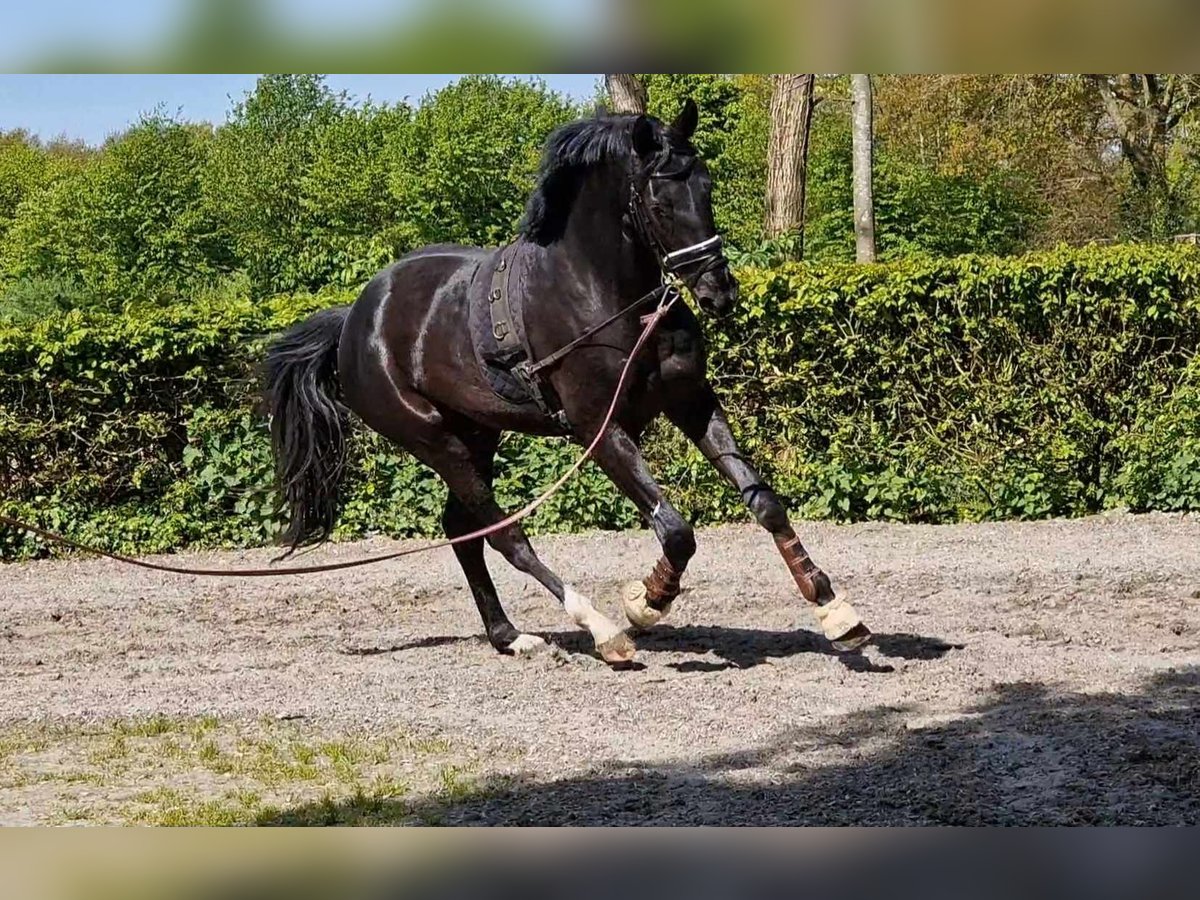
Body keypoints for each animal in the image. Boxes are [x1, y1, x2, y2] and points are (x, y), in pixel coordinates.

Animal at [262, 102, 868, 667]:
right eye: (659, 202)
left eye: (706, 186)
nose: (718, 291)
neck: (607, 297)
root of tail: (355, 319)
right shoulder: (599, 430)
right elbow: (675, 530)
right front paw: (645, 601)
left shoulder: (692, 402)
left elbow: (764, 503)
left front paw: (834, 610)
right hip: (435, 440)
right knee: (504, 534)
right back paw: (601, 631)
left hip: (478, 435)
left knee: (463, 529)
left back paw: (509, 636)